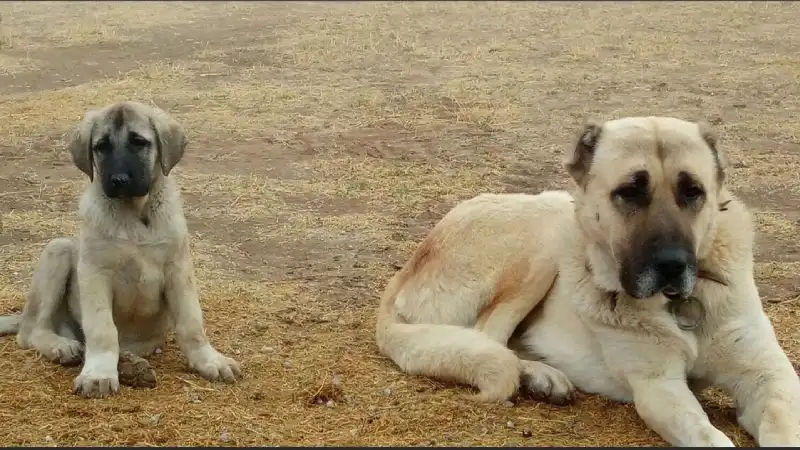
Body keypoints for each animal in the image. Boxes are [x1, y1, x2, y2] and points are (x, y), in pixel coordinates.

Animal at [0, 101, 244, 398]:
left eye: (139, 142)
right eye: (101, 146)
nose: (118, 180)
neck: (134, 213)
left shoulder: (178, 269)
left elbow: (192, 323)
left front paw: (209, 360)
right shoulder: (95, 272)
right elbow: (102, 329)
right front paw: (99, 374)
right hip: (58, 250)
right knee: (30, 331)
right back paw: (62, 346)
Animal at [376, 116, 800, 446]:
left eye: (693, 191)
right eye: (629, 192)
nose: (673, 265)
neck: (678, 306)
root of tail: (409, 267)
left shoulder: (768, 377)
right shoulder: (659, 386)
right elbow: (709, 435)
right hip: (548, 227)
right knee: (487, 336)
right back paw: (539, 376)